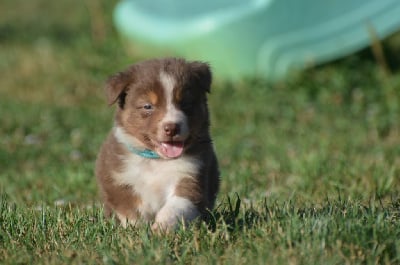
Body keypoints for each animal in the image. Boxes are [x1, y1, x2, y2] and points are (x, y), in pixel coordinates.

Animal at [95, 57, 220, 229]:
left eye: (185, 104)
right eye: (148, 106)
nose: (172, 128)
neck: (156, 160)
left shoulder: (192, 176)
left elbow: (177, 206)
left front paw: (162, 227)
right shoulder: (118, 180)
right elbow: (131, 209)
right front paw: (139, 228)